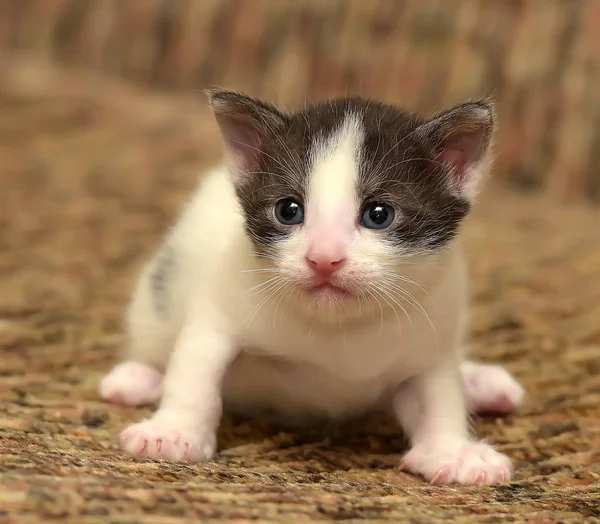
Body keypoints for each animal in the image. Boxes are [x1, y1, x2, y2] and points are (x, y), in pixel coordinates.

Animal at [101, 90, 524, 488]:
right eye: (288, 210)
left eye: (379, 214)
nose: (323, 258)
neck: (337, 327)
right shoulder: (220, 308)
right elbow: (196, 369)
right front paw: (172, 432)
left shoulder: (432, 334)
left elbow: (439, 394)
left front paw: (452, 450)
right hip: (156, 300)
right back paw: (139, 378)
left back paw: (478, 383)